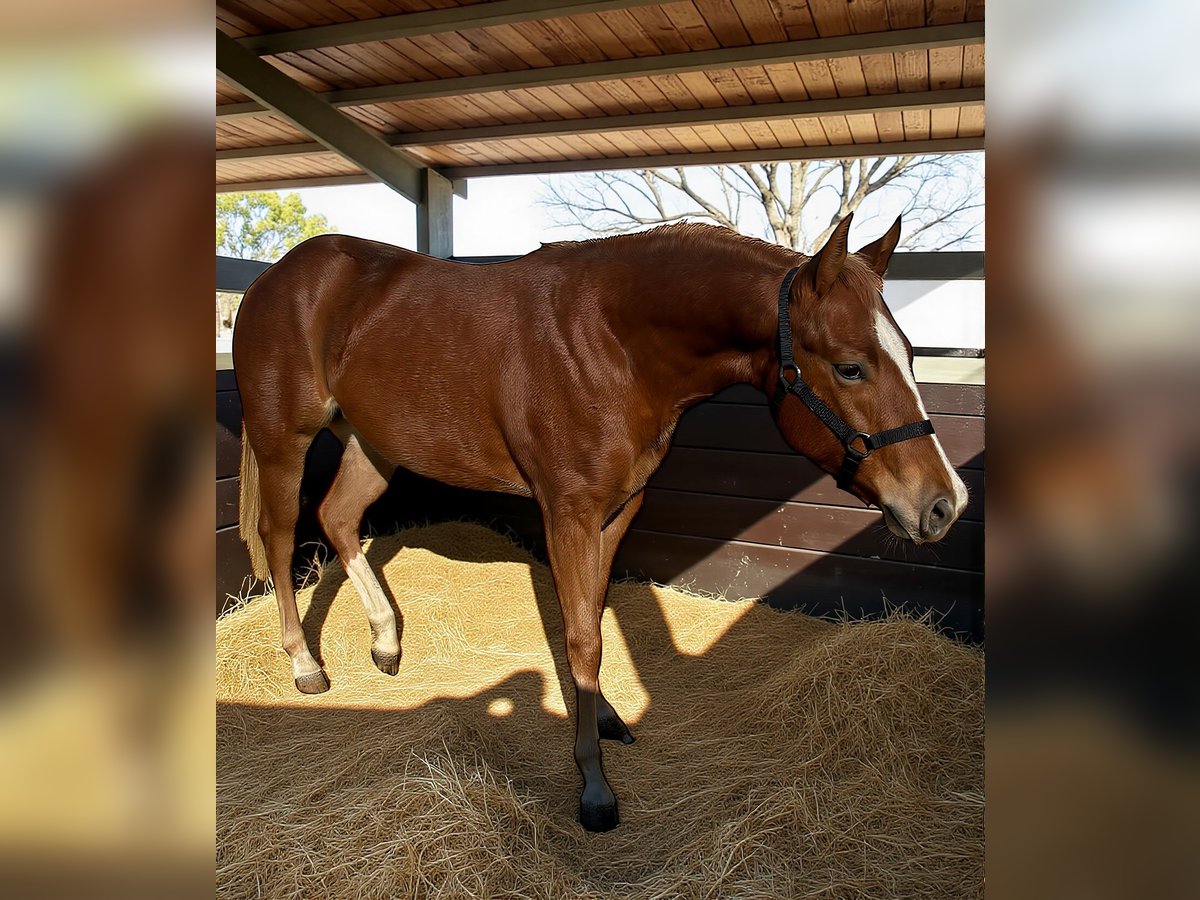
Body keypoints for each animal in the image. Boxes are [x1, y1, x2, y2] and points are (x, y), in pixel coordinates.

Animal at [233, 212, 968, 832]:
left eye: (910, 354)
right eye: (850, 366)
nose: (943, 504)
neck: (610, 343)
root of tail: (275, 276)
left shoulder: (618, 511)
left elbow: (593, 611)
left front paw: (606, 716)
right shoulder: (570, 514)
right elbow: (582, 637)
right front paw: (592, 782)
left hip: (373, 441)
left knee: (338, 519)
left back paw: (386, 640)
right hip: (283, 442)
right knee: (281, 537)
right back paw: (304, 665)